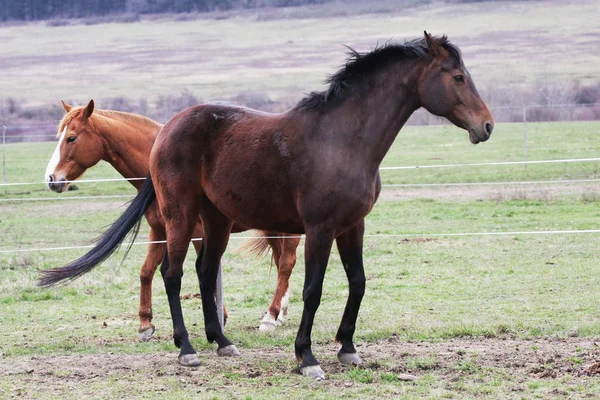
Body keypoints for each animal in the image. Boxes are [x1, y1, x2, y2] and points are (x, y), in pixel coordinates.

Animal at [43, 100, 300, 338]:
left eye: (72, 138)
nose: (51, 178)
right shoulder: (160, 231)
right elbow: (146, 271)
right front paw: (145, 323)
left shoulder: (197, 233)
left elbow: (205, 269)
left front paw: (221, 317)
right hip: (272, 228)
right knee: (281, 262)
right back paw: (280, 313)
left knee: (286, 264)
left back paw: (271, 316)